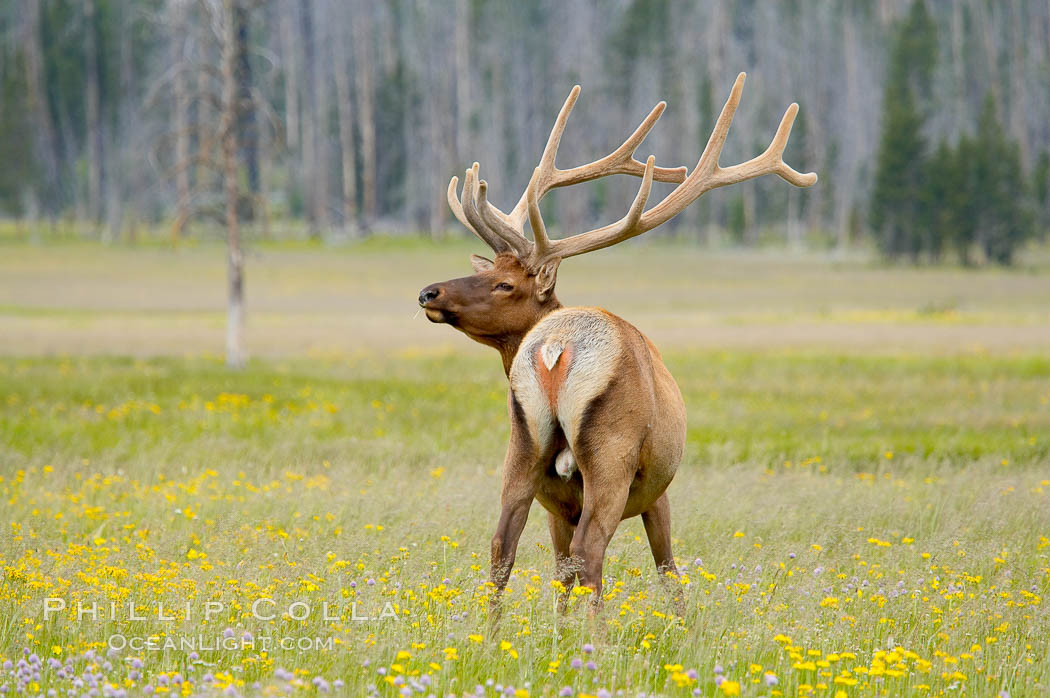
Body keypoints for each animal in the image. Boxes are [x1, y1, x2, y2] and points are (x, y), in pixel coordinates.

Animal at [417, 71, 818, 604]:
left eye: (503, 283)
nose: (428, 291)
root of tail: (554, 348)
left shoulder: (558, 502)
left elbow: (559, 574)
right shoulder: (658, 488)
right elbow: (667, 568)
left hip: (523, 442)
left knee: (503, 546)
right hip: (612, 452)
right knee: (591, 549)